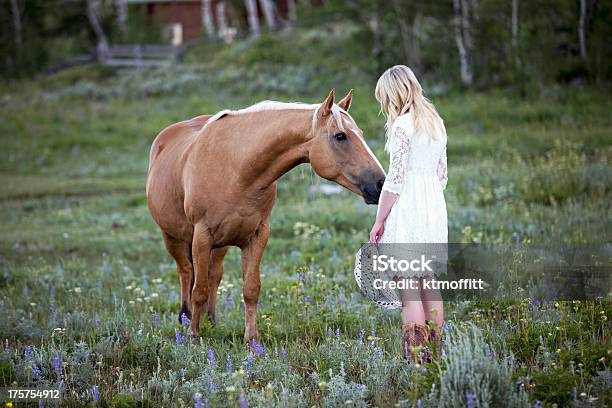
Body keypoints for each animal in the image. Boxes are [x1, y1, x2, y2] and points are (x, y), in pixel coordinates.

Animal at [146, 90, 384, 342]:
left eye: (360, 134)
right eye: (340, 136)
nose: (380, 183)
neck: (236, 170)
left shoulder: (257, 235)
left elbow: (251, 289)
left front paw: (252, 340)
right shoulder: (201, 237)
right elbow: (198, 290)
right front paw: (194, 337)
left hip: (219, 246)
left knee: (213, 275)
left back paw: (211, 320)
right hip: (172, 237)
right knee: (185, 271)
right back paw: (186, 318)